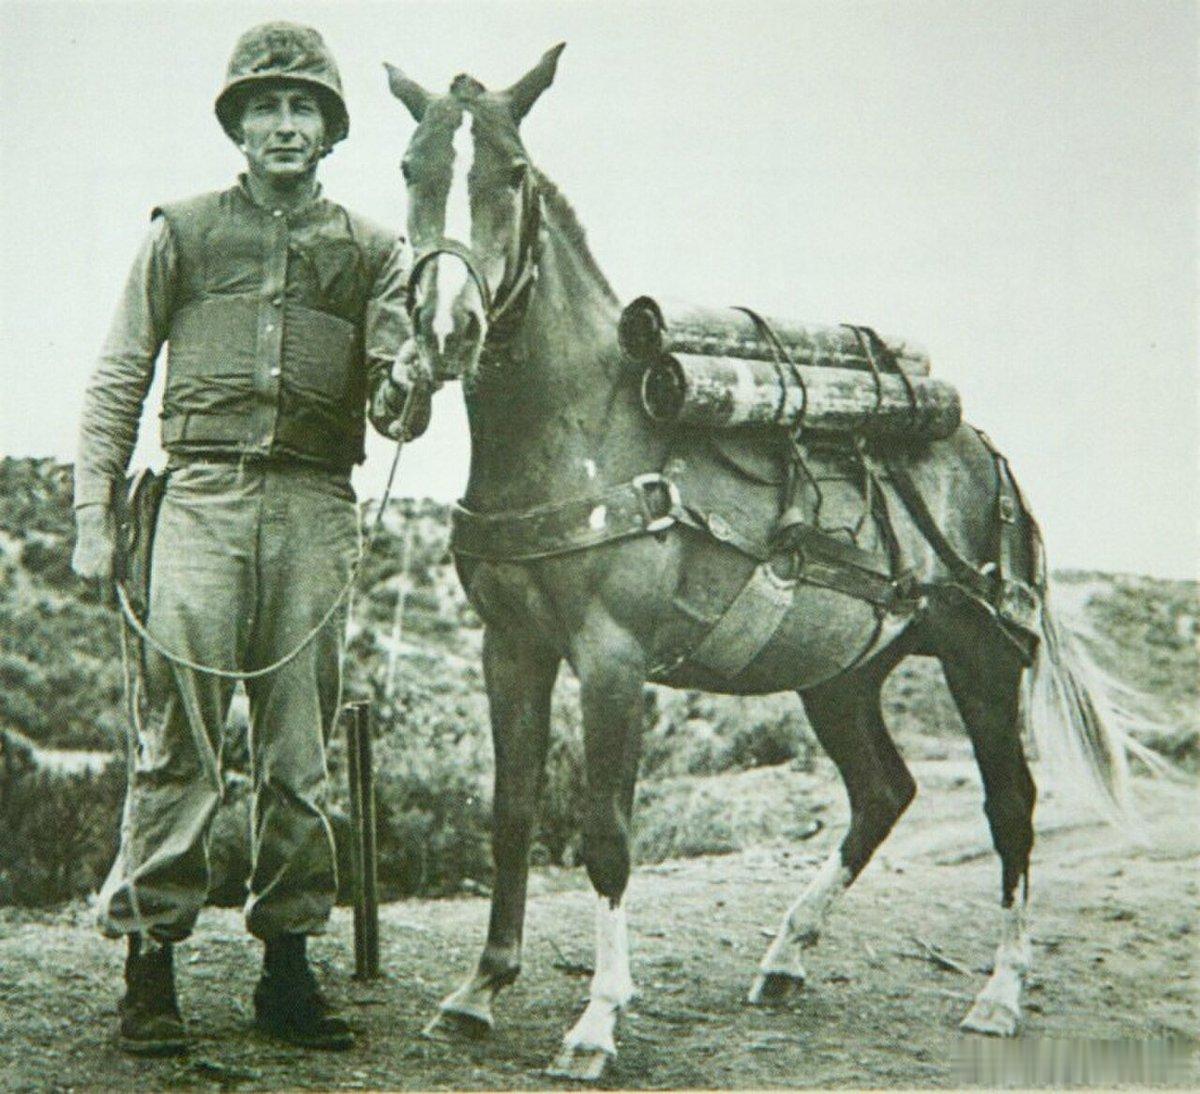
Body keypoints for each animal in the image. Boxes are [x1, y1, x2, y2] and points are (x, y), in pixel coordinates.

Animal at [383, 45, 1153, 1080]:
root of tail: (988, 456)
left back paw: (999, 991)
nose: (447, 329)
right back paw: (786, 954)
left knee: (1011, 806)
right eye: (409, 168)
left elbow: (605, 833)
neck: (581, 431)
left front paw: (597, 1019)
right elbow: (508, 814)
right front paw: (478, 990)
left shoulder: (613, 660)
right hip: (842, 675)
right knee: (884, 793)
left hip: (981, 661)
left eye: (511, 173)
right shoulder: (509, 649)